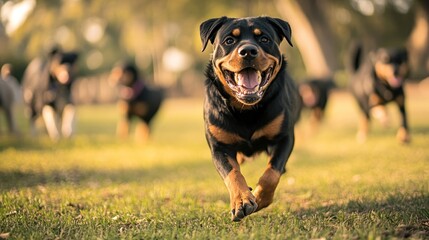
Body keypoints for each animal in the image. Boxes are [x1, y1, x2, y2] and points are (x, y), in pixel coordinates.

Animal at [199, 15, 300, 221]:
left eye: (264, 39)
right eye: (229, 40)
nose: (248, 51)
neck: (246, 109)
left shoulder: (284, 138)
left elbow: (272, 173)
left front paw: (260, 199)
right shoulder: (219, 146)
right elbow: (233, 173)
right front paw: (242, 200)